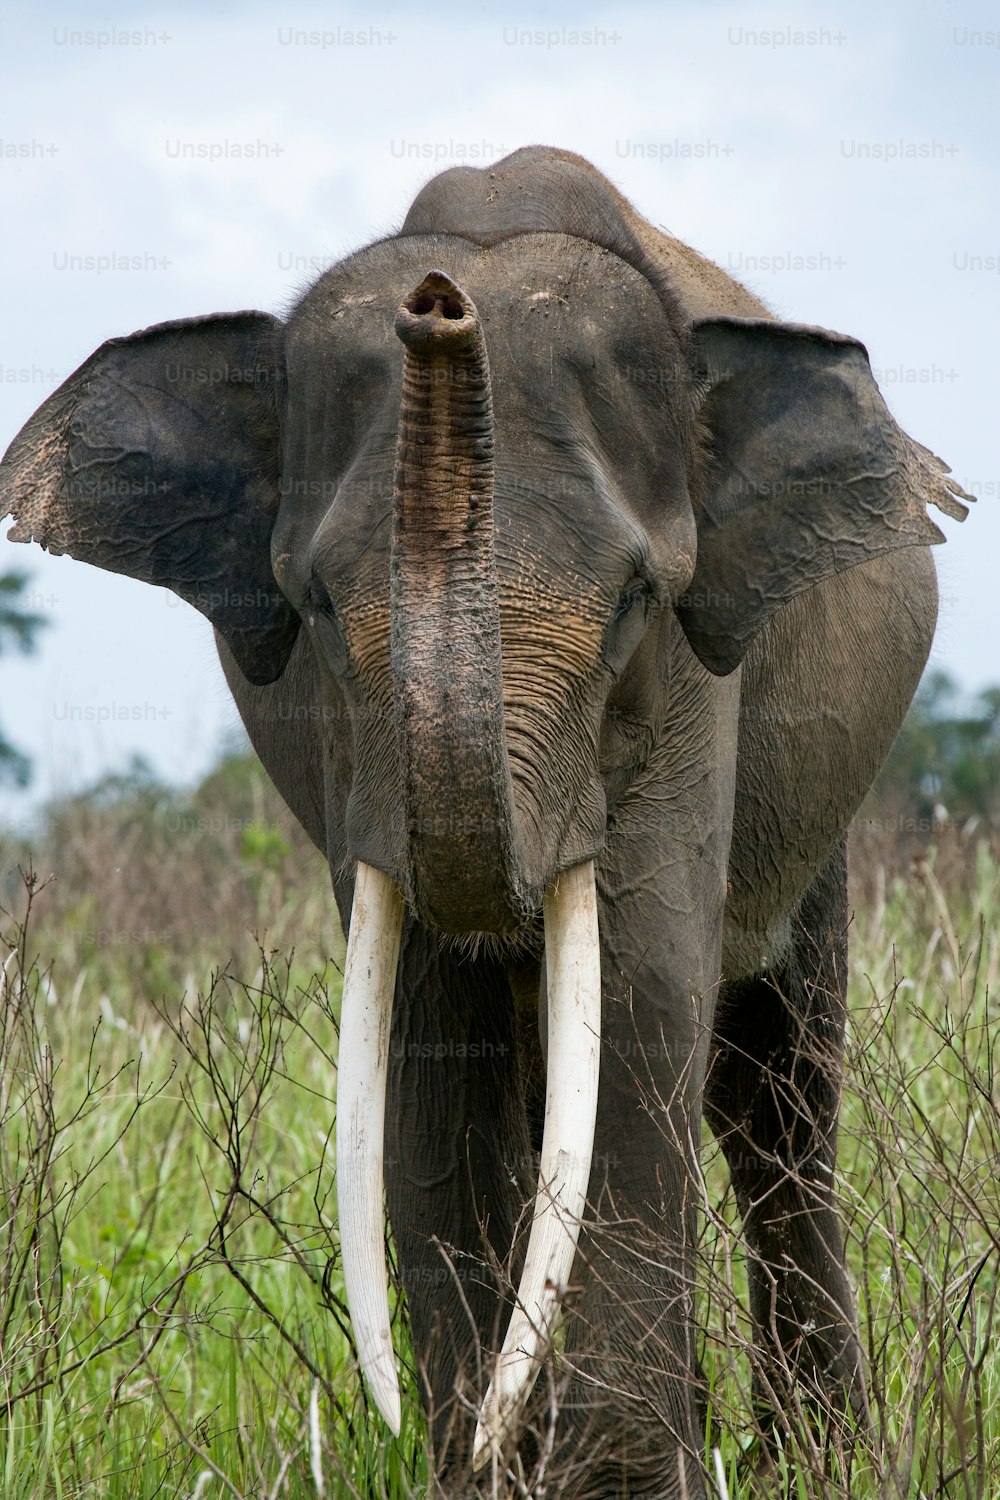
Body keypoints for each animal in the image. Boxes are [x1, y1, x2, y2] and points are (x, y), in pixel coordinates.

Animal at [0, 143, 971, 1500]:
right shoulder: (346, 754)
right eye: (310, 602)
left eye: (635, 600)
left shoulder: (690, 682)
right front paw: (483, 1462)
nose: (439, 307)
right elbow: (431, 1019)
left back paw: (811, 1459)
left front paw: (609, 1478)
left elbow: (638, 987)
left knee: (773, 1090)